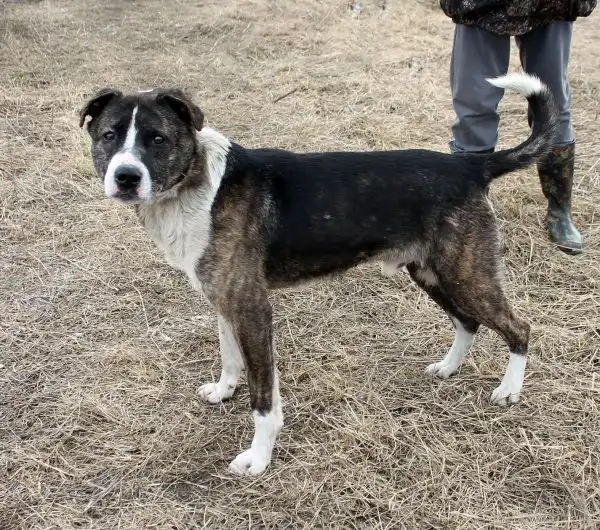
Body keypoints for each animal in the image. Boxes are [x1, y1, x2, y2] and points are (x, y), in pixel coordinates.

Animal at [80, 73, 558, 476]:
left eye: (157, 139)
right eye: (109, 136)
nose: (126, 177)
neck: (198, 186)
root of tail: (470, 166)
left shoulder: (252, 308)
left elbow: (263, 397)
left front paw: (259, 457)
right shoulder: (224, 301)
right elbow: (229, 357)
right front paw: (223, 390)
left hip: (466, 274)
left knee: (518, 327)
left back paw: (509, 389)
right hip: (431, 273)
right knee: (467, 322)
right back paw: (448, 367)